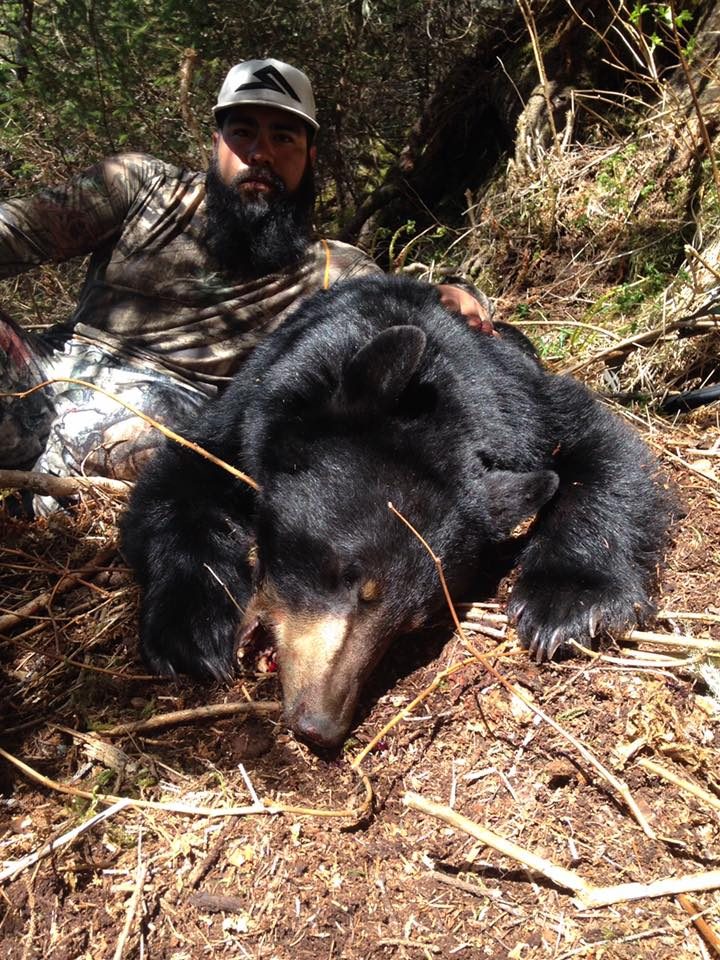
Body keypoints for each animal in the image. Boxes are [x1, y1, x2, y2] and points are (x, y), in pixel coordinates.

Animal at [120, 275, 674, 749]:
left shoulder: (521, 409)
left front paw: (564, 604)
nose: (320, 724)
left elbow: (596, 441)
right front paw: (194, 630)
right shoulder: (248, 408)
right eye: (344, 575)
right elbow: (180, 471)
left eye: (412, 624)